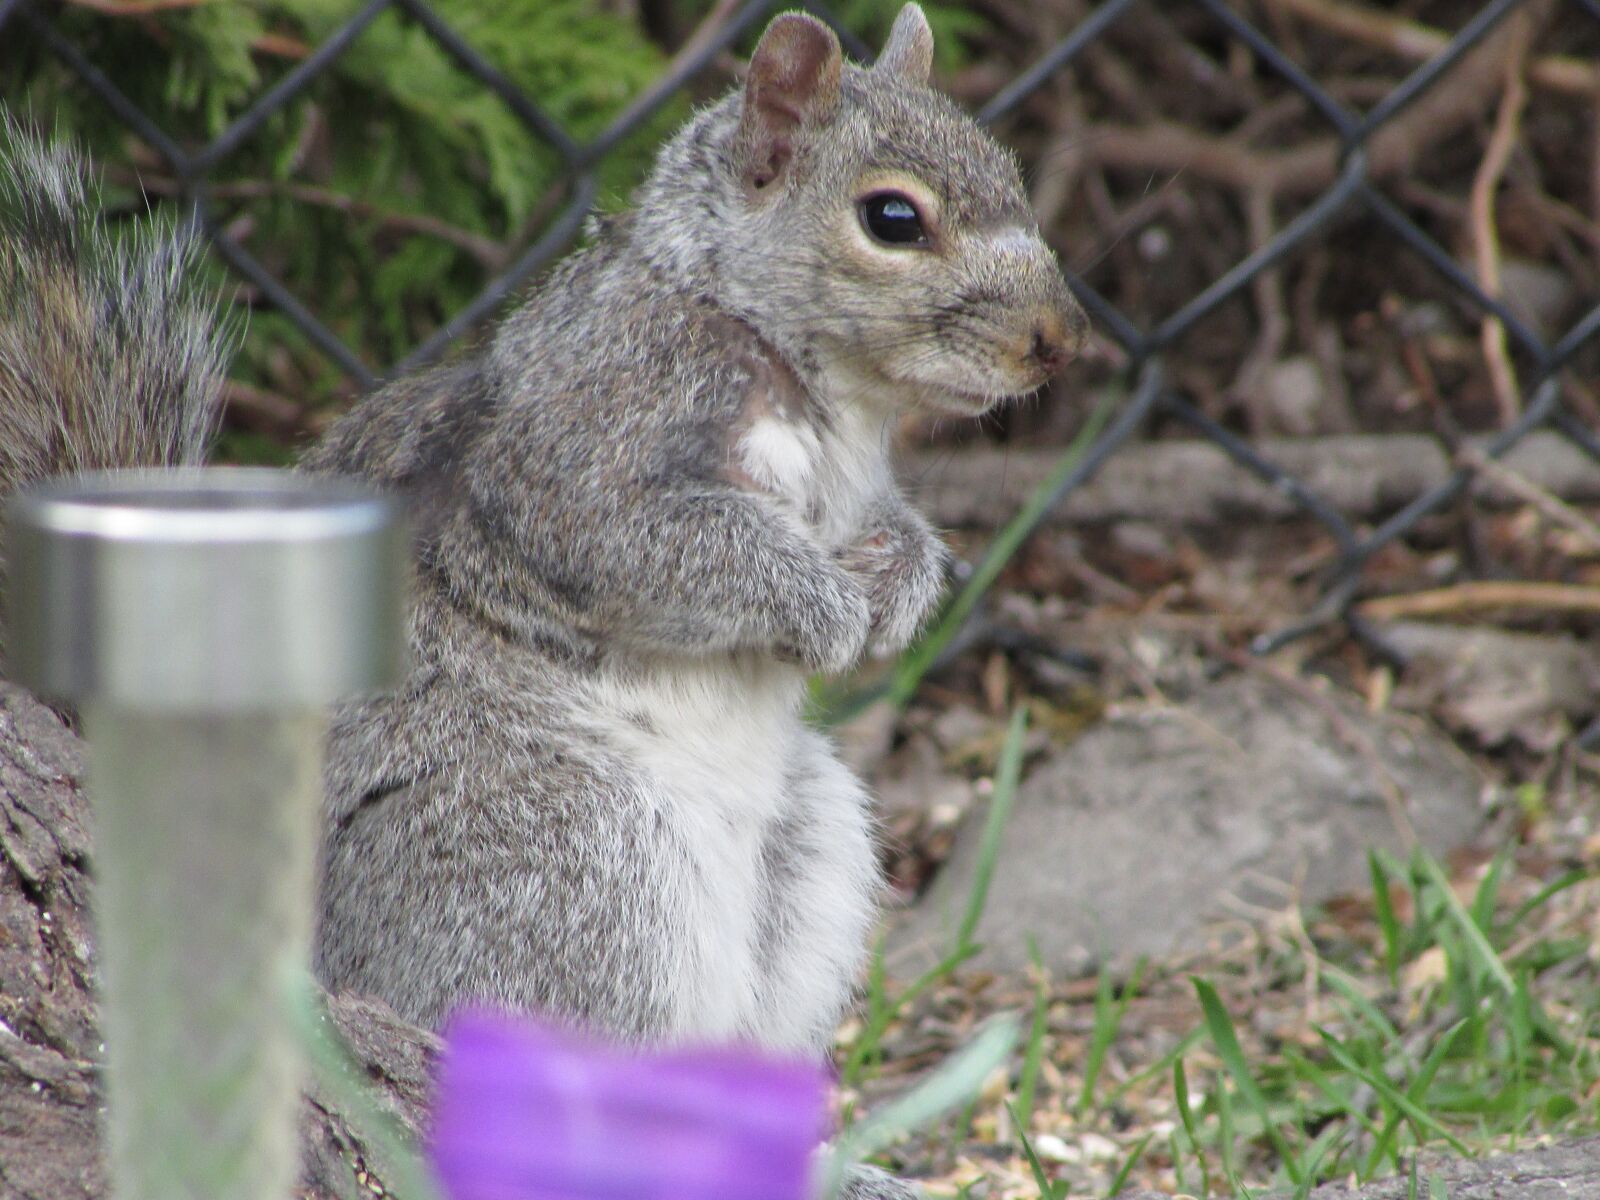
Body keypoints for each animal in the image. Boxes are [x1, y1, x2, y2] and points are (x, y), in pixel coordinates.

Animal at [0, 4, 1088, 1196]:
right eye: (893, 219)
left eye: (1011, 173)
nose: (1059, 340)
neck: (829, 393)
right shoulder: (586, 452)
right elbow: (669, 551)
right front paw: (828, 612)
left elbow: (899, 533)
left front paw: (897, 586)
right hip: (570, 860)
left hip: (809, 861)